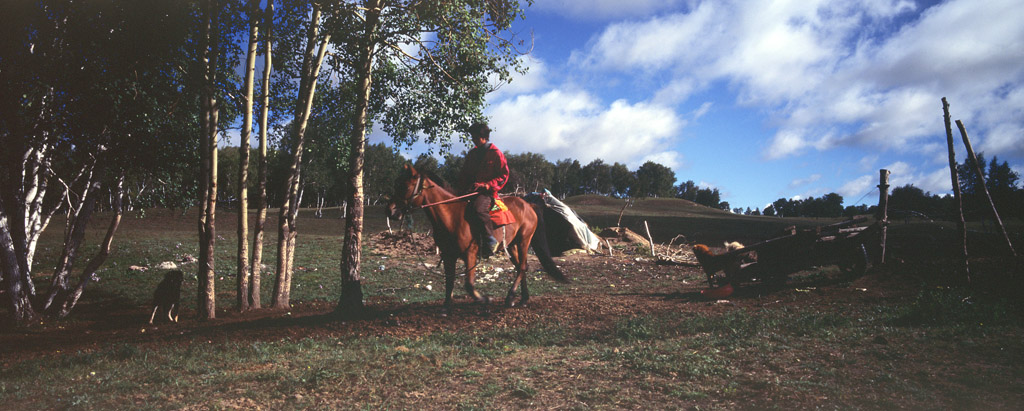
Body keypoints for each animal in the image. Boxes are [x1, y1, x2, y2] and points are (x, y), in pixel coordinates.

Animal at [385, 162, 569, 311]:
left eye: (404, 186)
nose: (390, 210)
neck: (452, 216)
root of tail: (528, 205)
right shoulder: (448, 255)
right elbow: (449, 281)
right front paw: (446, 307)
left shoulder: (470, 254)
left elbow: (468, 284)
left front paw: (484, 299)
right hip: (512, 245)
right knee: (521, 267)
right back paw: (523, 299)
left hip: (524, 241)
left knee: (522, 267)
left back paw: (510, 297)